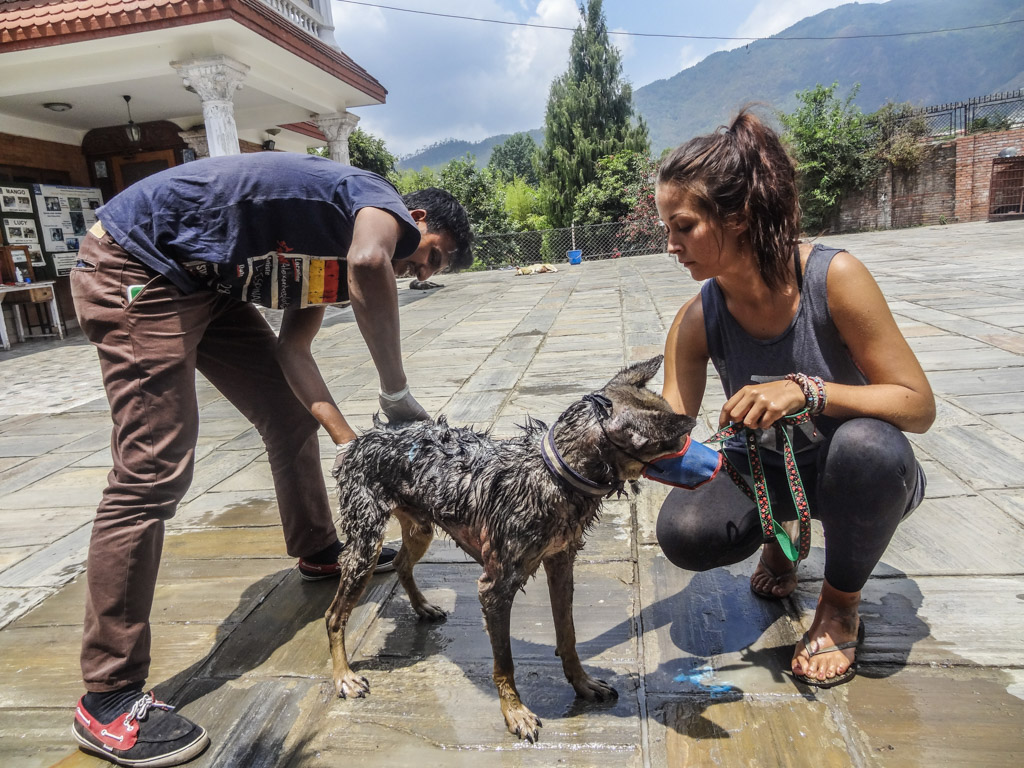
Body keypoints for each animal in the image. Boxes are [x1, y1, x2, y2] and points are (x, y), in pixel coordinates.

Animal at [327, 358, 696, 741]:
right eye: (677, 442)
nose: (708, 458)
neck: (555, 471)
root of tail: (361, 439)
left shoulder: (561, 563)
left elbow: (568, 635)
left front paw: (582, 683)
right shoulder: (494, 588)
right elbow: (504, 662)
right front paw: (515, 712)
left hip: (420, 528)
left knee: (401, 563)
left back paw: (423, 607)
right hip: (366, 547)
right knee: (334, 615)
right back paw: (344, 677)